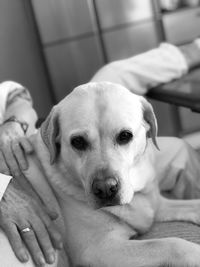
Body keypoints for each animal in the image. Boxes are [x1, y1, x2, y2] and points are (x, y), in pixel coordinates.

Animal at [1, 82, 200, 267]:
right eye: (78, 142)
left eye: (125, 136)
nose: (105, 189)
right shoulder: (100, 248)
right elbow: (169, 244)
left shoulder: (157, 206)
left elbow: (194, 205)